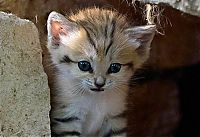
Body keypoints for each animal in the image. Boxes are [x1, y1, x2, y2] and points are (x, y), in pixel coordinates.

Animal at [47, 7, 156, 137]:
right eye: (84, 65)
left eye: (115, 67)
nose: (99, 83)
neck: (95, 100)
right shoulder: (67, 118)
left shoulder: (115, 119)